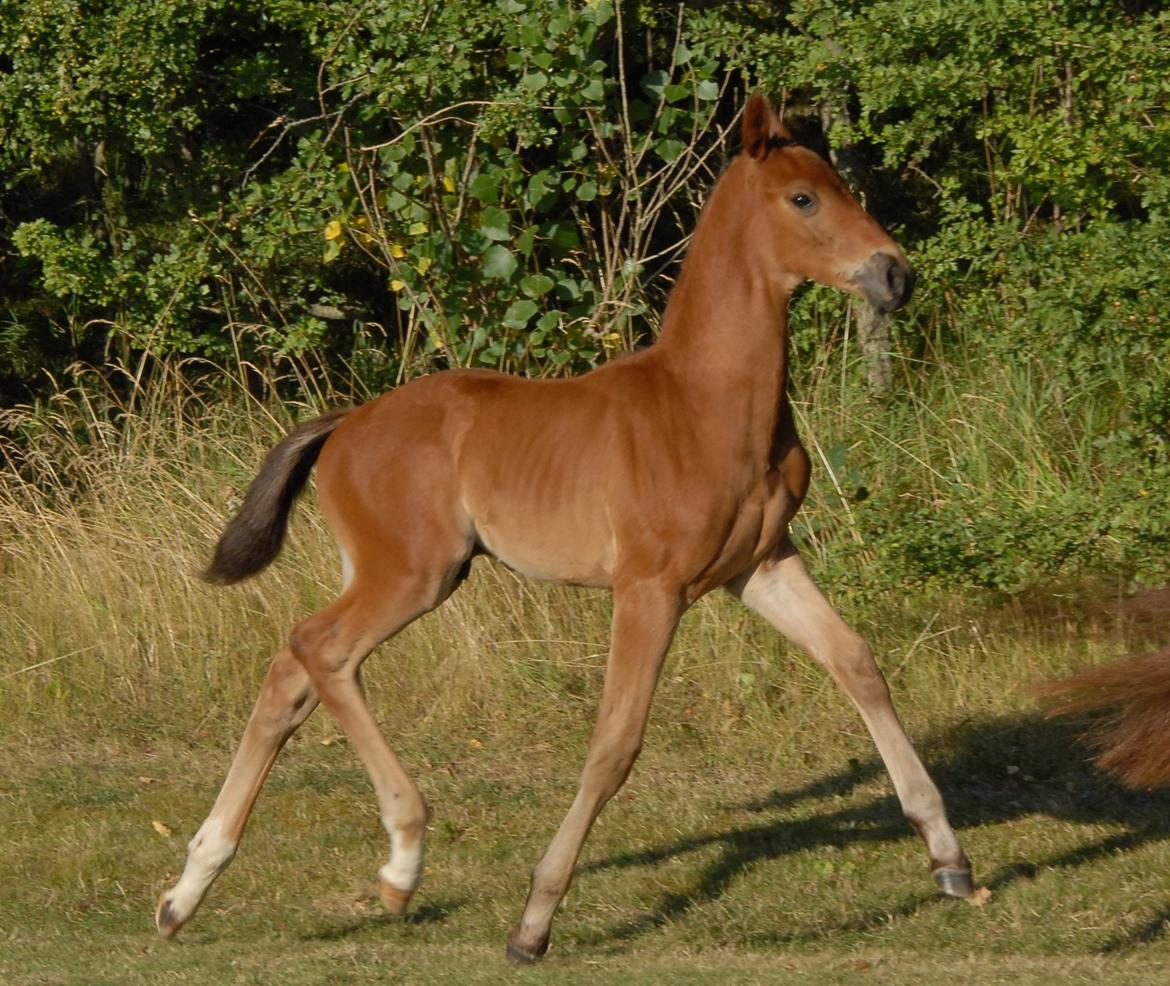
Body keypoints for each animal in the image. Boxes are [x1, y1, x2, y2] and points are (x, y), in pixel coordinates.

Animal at [157, 92, 978, 954]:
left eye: (839, 186)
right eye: (803, 199)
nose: (895, 274)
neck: (706, 403)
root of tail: (345, 424)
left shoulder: (761, 566)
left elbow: (857, 663)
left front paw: (949, 857)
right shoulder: (650, 586)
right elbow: (615, 741)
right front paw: (535, 920)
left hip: (392, 573)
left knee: (293, 672)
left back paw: (190, 889)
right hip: (414, 572)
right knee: (320, 649)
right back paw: (400, 861)